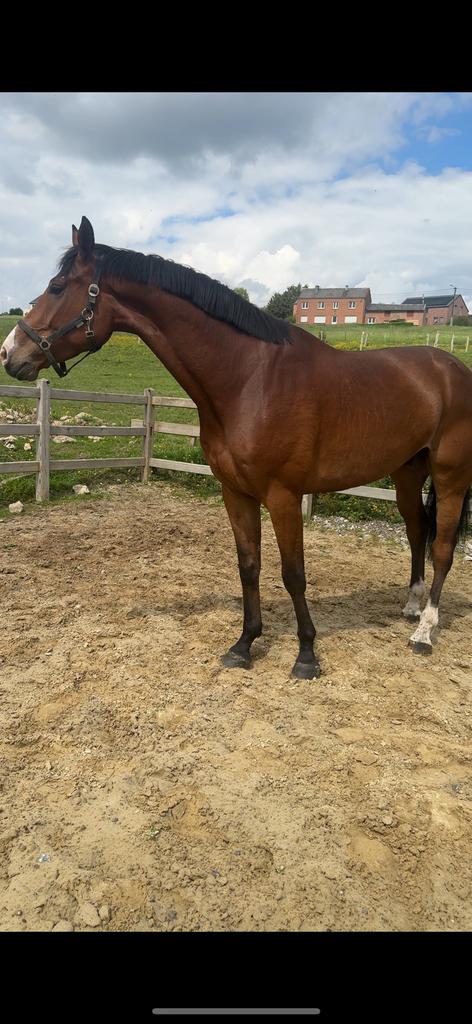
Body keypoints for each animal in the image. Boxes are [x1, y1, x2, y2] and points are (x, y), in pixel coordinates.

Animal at [2, 216, 471, 679]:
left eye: (57, 287)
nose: (9, 353)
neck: (249, 378)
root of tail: (454, 370)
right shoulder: (236, 492)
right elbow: (249, 566)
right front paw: (244, 644)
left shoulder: (283, 497)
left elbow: (293, 573)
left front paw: (306, 655)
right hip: (407, 472)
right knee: (416, 531)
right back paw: (411, 607)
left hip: (450, 477)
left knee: (443, 549)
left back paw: (424, 631)